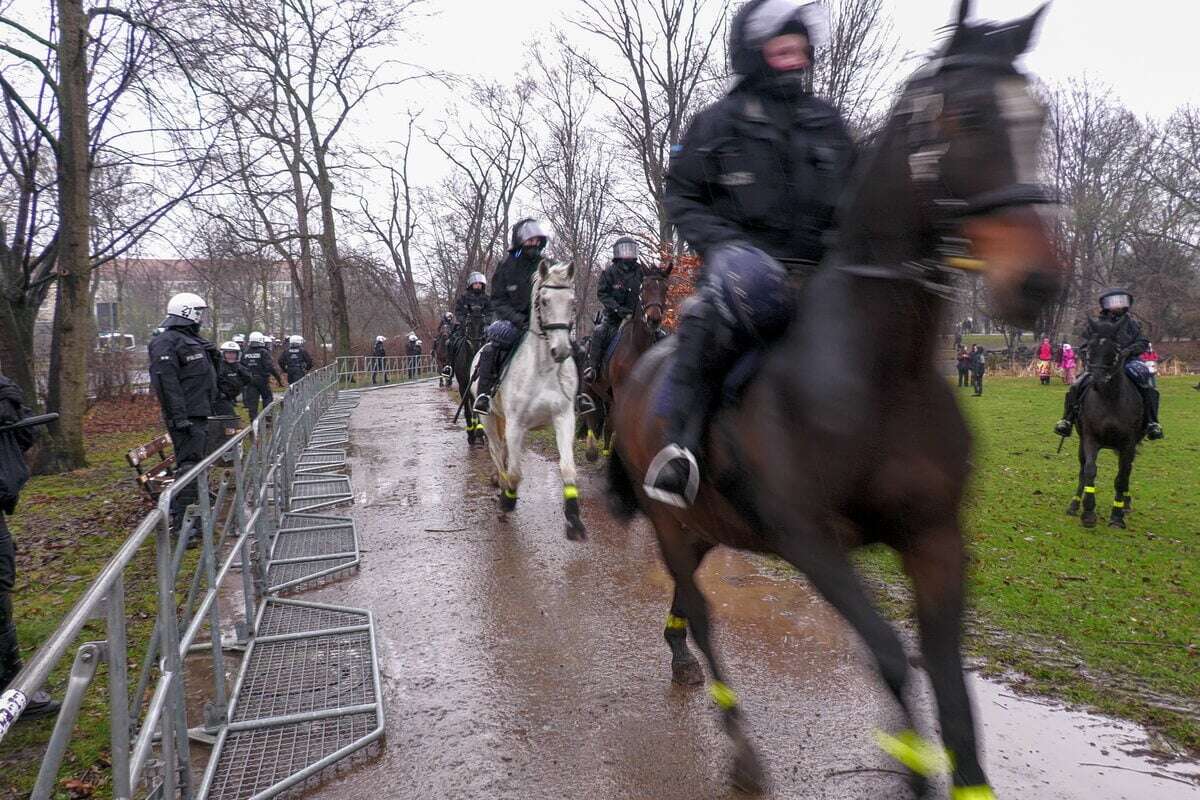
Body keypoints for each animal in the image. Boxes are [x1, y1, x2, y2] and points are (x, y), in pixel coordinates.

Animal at [451, 311, 487, 443]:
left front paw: (480, 431)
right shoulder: (463, 385)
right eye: (469, 323)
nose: (476, 347)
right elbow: (467, 408)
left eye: (483, 324)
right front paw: (470, 433)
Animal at [468, 260, 585, 542]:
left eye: (572, 301)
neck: (543, 370)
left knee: (504, 453)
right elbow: (516, 472)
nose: (561, 350)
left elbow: (567, 468)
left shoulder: (564, 418)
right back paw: (500, 486)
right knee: (496, 451)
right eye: (543, 301)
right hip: (489, 417)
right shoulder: (516, 425)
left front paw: (574, 518)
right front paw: (507, 500)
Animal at [583, 262, 676, 462]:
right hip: (591, 386)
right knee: (592, 415)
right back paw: (592, 451)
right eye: (644, 287)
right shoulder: (620, 390)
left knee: (608, 421)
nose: (654, 319)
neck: (637, 346)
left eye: (665, 289)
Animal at [609, 3, 1060, 796]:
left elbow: (950, 686)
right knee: (701, 611)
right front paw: (910, 767)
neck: (876, 378)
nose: (1037, 283)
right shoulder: (811, 540)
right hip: (670, 522)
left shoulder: (935, 537)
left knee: (686, 603)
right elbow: (889, 653)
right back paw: (740, 749)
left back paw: (681, 658)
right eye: (970, 114)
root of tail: (640, 368)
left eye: (1035, 117)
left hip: (702, 526)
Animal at [1060, 319, 1142, 532]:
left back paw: (1126, 503)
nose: (1095, 380)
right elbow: (1089, 470)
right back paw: (1074, 505)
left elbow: (1121, 477)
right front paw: (1088, 513)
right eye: (1089, 348)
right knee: (1082, 471)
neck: (1110, 399)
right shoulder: (1090, 438)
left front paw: (1117, 516)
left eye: (1114, 350)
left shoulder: (1128, 444)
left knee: (1127, 472)